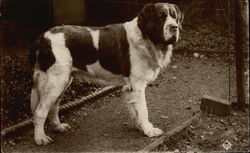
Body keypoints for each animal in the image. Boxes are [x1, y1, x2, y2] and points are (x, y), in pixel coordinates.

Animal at [29, 2, 184, 146]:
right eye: (161, 17)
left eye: (174, 17)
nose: (174, 27)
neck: (146, 38)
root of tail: (43, 37)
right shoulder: (137, 85)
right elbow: (143, 109)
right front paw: (149, 130)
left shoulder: (130, 87)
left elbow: (135, 110)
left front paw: (140, 126)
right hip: (56, 81)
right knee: (40, 111)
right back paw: (40, 138)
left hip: (63, 80)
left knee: (54, 106)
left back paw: (58, 127)